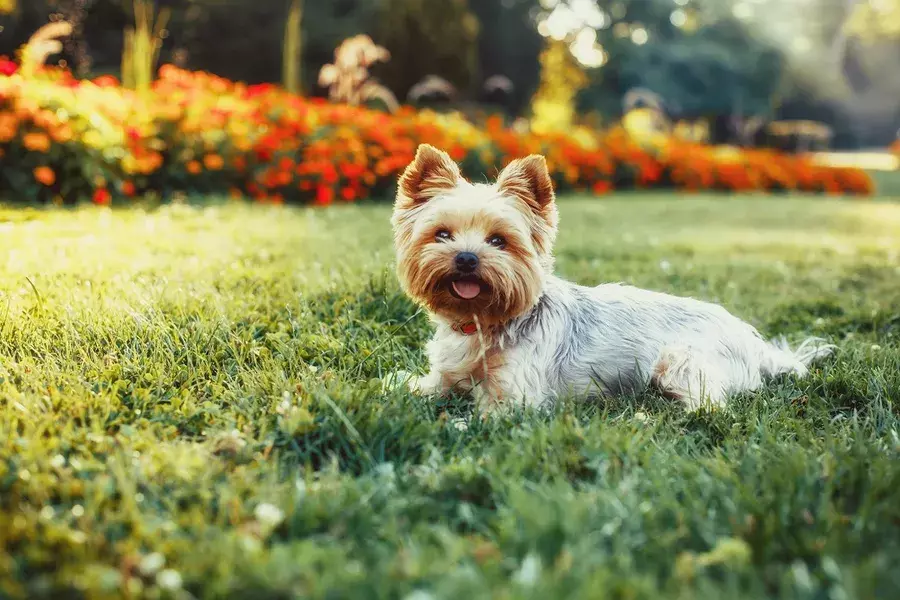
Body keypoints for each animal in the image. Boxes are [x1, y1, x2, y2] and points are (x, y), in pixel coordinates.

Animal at [390, 145, 832, 414]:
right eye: (442, 234)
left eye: (499, 240)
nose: (466, 258)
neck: (482, 321)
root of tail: (756, 344)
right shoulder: (442, 377)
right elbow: (416, 386)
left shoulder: (515, 398)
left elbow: (480, 416)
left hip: (679, 361)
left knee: (710, 406)